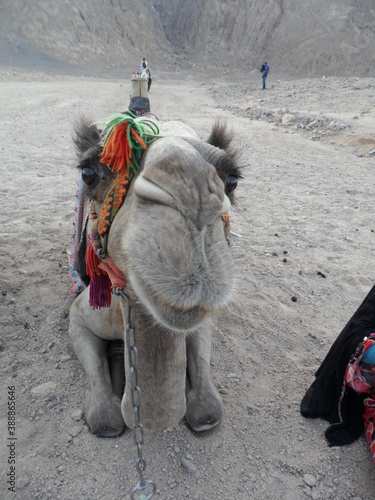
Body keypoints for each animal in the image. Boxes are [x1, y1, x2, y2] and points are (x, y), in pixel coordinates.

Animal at [69, 114, 242, 438]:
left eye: (232, 181)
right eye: (89, 172)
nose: (195, 196)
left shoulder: (201, 319)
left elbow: (207, 406)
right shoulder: (81, 315)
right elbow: (104, 416)